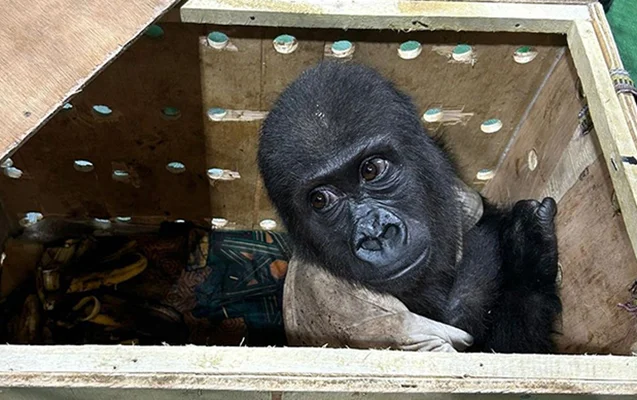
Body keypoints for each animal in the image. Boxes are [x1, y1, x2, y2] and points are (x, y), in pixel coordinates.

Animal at [256, 60, 560, 354]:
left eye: (371, 170)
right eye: (320, 199)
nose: (375, 233)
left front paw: (527, 250)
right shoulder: (356, 311)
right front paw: (527, 256)